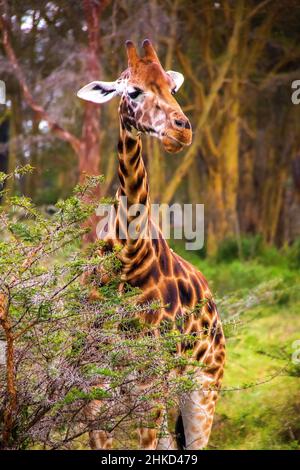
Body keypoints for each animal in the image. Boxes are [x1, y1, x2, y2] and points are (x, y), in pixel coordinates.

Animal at [77, 38, 225, 450]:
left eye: (173, 89)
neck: (128, 254)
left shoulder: (149, 384)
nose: (182, 131)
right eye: (133, 91)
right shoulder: (93, 383)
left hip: (202, 390)